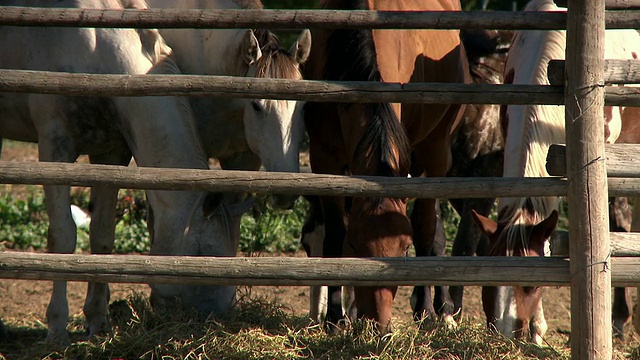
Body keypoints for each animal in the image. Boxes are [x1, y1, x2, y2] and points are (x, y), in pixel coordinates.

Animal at [0, 0, 255, 344]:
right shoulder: (55, 148)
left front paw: (98, 321)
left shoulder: (110, 155)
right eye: (207, 254)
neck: (97, 48)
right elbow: (63, 236)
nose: (214, 316)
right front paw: (57, 326)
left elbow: (102, 236)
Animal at [302, 0, 468, 332]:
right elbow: (334, 233)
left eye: (403, 250)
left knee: (428, 227)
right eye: (354, 247)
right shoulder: (324, 159)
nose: (378, 325)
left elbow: (423, 230)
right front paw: (336, 318)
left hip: (435, 152)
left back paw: (436, 309)